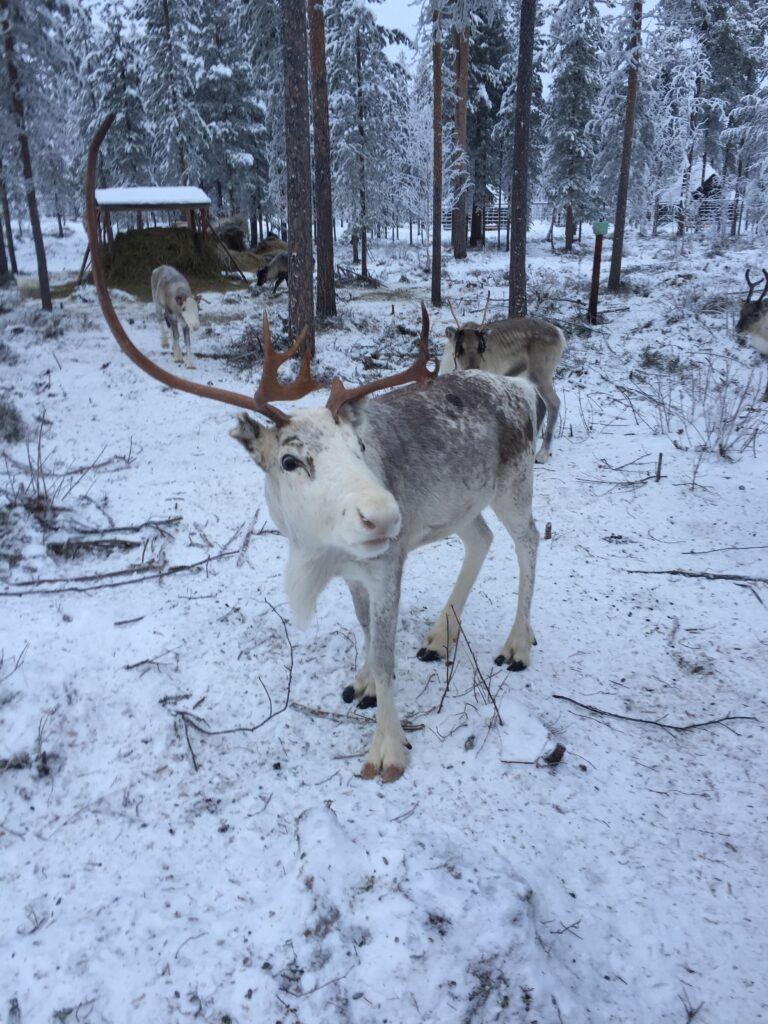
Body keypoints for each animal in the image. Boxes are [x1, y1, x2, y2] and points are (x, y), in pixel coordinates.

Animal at [86, 116, 543, 783]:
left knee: (528, 540)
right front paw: (362, 684)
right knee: (480, 539)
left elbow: (385, 652)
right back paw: (439, 637)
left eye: (360, 443)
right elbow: (364, 633)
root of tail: (521, 389)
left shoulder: (387, 562)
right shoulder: (357, 570)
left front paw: (387, 749)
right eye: (290, 459)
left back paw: (515, 644)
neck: (319, 551)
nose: (385, 515)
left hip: (514, 486)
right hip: (460, 502)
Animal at [440, 295, 565, 464]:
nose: (474, 368)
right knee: (542, 404)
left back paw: (542, 454)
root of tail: (559, 333)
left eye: (482, 347)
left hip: (541, 373)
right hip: (529, 376)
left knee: (554, 402)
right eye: (460, 348)